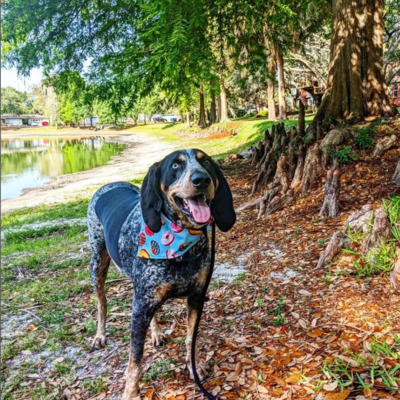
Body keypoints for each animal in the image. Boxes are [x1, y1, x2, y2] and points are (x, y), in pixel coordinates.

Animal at [88, 148, 234, 398]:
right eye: (175, 165)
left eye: (206, 162)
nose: (201, 179)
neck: (181, 242)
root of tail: (109, 184)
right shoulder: (140, 308)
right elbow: (134, 363)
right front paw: (130, 393)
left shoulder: (196, 297)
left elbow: (190, 340)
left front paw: (194, 367)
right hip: (97, 265)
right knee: (102, 302)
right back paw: (100, 335)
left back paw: (155, 333)